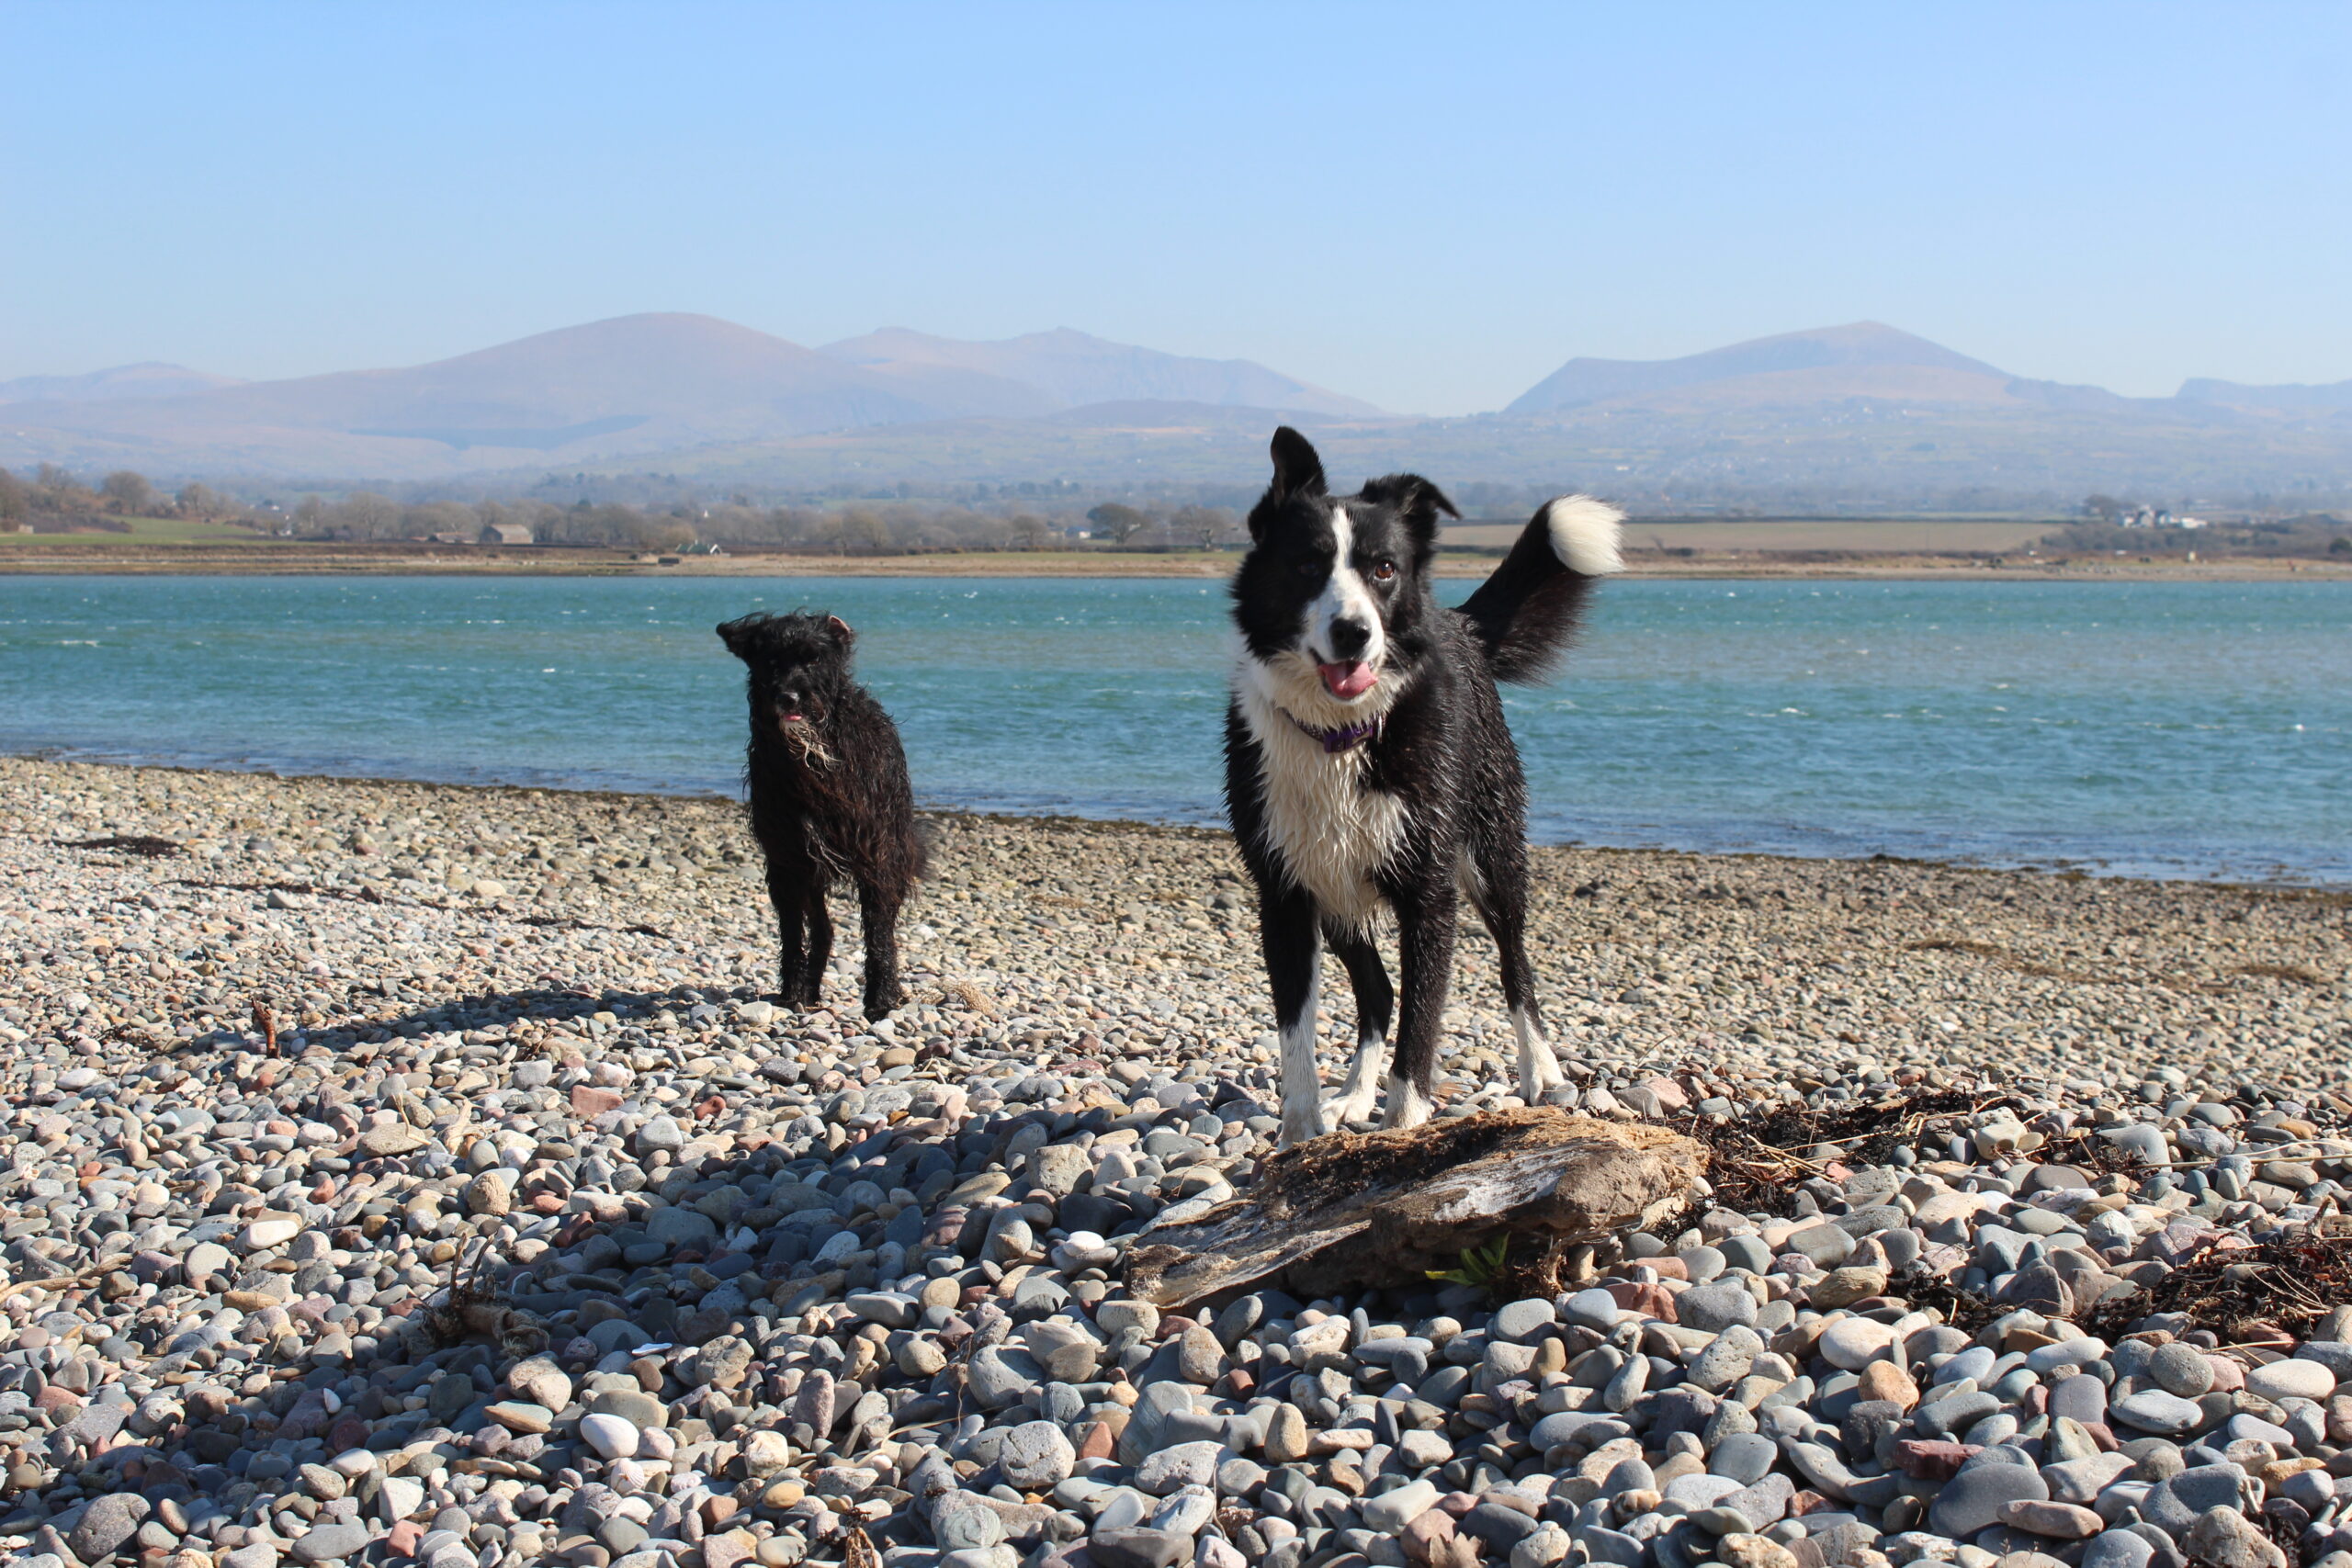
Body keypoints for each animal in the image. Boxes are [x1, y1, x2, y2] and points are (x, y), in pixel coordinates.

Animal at [719, 606, 922, 1024]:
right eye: (771, 661)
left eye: (814, 659)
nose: (789, 696)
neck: (813, 754)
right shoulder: (787, 859)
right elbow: (793, 931)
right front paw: (793, 992)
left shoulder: (876, 855)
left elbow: (878, 932)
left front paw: (881, 999)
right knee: (823, 929)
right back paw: (810, 989)